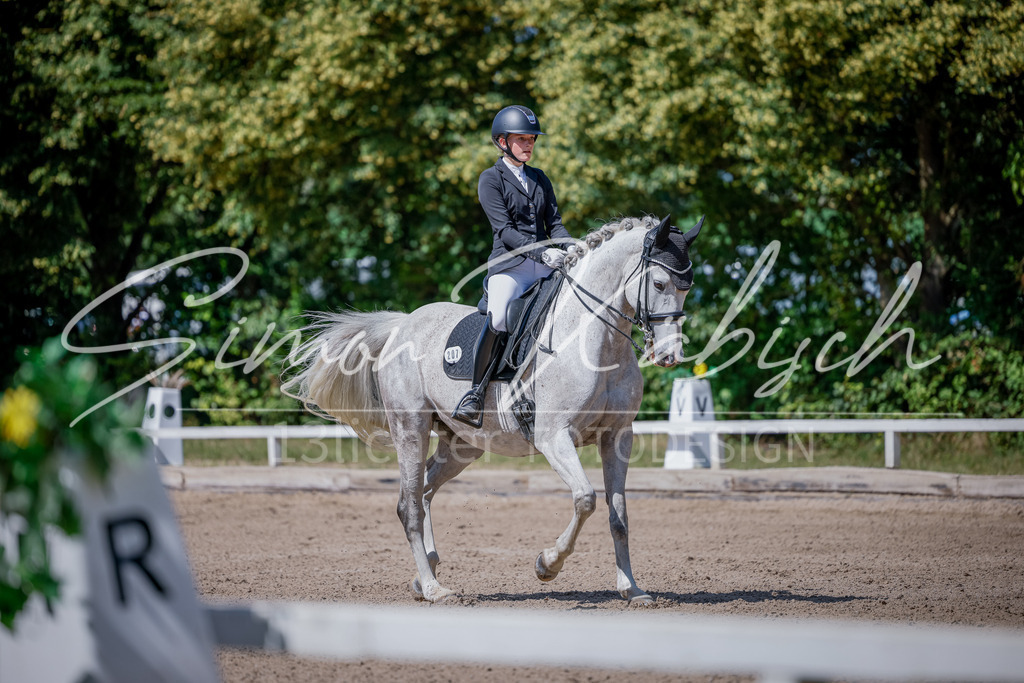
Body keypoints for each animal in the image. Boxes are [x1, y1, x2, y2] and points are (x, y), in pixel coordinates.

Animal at [282, 214, 702, 604]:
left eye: (688, 288)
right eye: (659, 284)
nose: (669, 355)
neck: (593, 341)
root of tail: (403, 324)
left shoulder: (618, 438)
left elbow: (620, 516)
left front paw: (632, 589)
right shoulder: (554, 437)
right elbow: (585, 499)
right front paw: (547, 564)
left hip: (462, 445)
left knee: (425, 490)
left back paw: (426, 572)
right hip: (410, 428)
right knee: (408, 505)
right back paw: (434, 588)